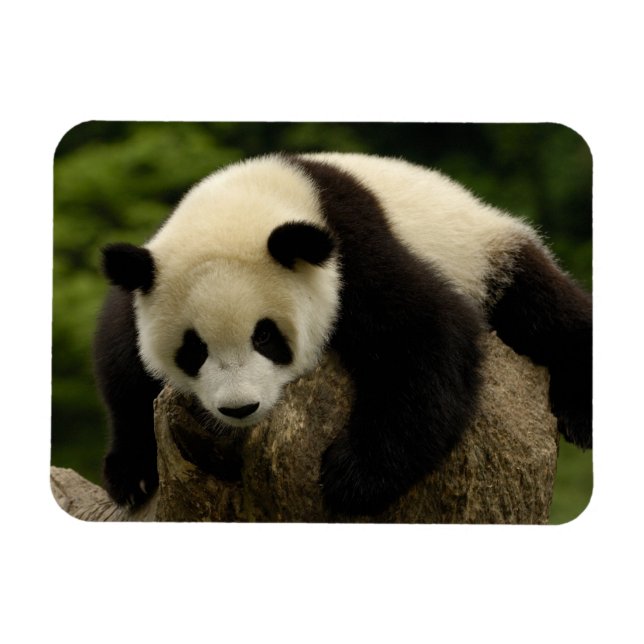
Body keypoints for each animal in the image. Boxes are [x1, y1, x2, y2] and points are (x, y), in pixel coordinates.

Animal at [94, 152, 592, 516]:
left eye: (265, 337)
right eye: (193, 348)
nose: (239, 408)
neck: (250, 198)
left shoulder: (351, 251)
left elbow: (426, 334)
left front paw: (351, 477)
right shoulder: (143, 279)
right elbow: (122, 365)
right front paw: (132, 473)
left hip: (484, 255)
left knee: (548, 312)